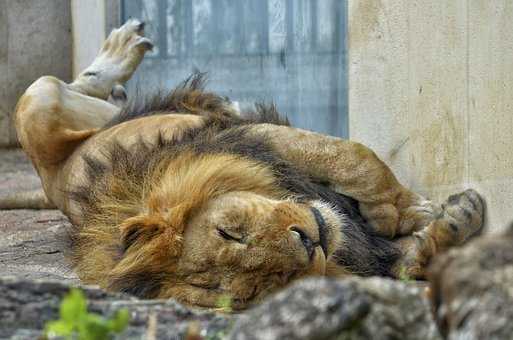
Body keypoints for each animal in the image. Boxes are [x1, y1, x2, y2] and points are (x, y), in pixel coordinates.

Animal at [11, 19, 484, 310]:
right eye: (270, 284)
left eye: (229, 232)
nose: (308, 241)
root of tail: (52, 179)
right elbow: (408, 260)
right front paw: (452, 223)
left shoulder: (251, 133)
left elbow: (353, 158)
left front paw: (408, 210)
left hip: (40, 101)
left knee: (77, 84)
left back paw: (121, 53)